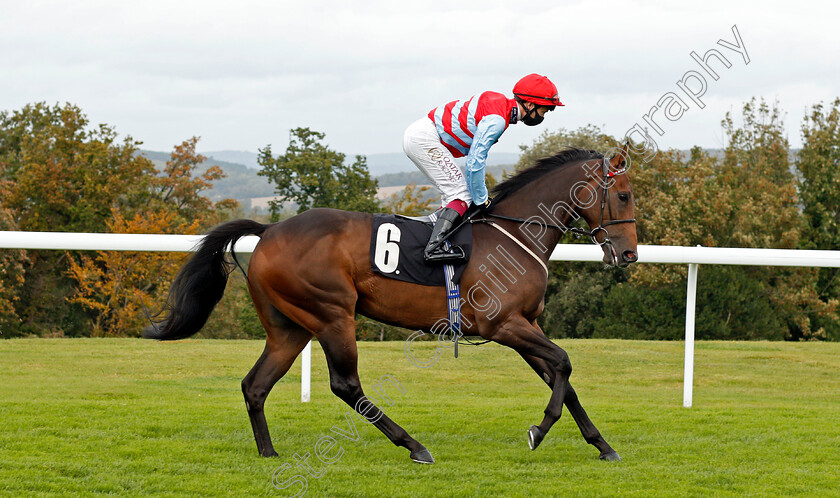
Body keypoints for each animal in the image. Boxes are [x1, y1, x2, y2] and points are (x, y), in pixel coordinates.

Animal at [148, 144, 640, 462]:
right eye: (623, 195)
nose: (630, 255)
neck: (516, 233)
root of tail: (269, 231)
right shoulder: (504, 326)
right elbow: (564, 363)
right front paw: (539, 430)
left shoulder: (526, 326)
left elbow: (561, 376)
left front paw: (603, 445)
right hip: (331, 314)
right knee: (345, 385)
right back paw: (414, 445)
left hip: (290, 327)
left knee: (255, 384)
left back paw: (268, 451)